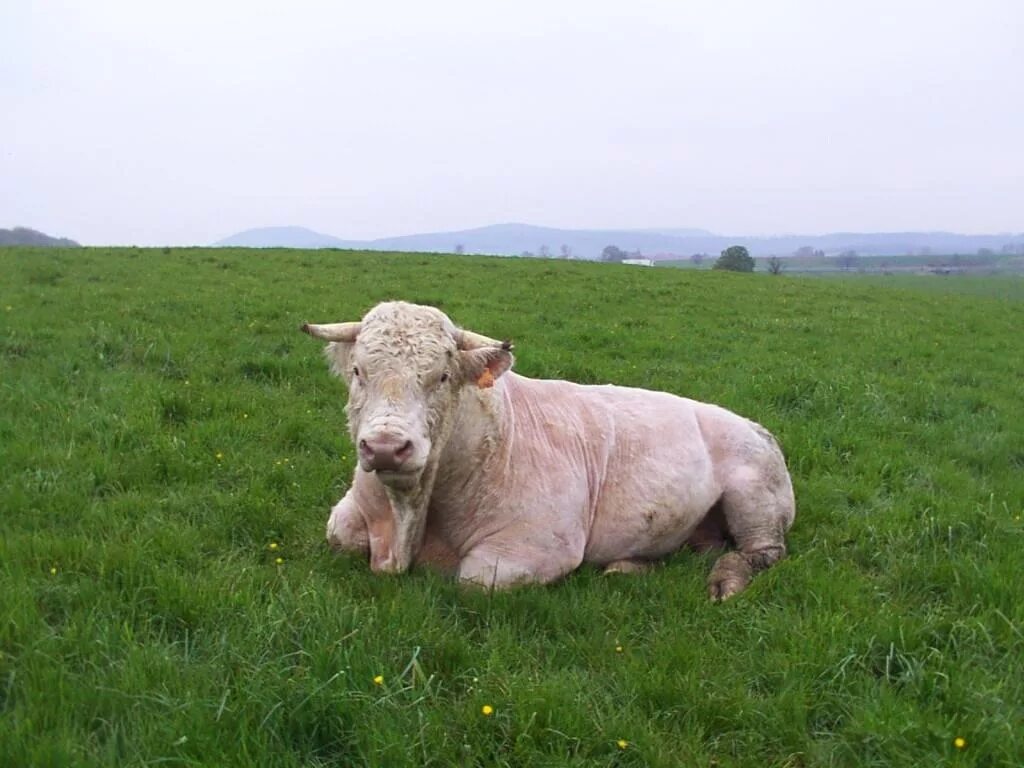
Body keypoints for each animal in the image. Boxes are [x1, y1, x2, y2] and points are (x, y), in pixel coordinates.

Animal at [299, 303, 794, 602]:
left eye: (441, 376)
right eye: (358, 371)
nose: (386, 447)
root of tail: (752, 424)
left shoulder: (536, 546)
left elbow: (473, 579)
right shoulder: (350, 517)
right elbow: (341, 535)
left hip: (757, 497)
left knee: (763, 552)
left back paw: (726, 581)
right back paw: (629, 567)